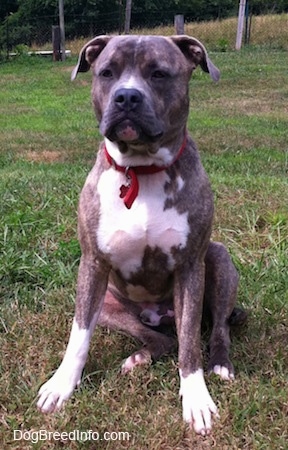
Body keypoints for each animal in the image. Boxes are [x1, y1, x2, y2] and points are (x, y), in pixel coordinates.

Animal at [37, 35, 246, 436]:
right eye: (107, 72)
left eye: (159, 73)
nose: (127, 97)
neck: (140, 169)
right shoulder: (92, 266)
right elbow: (78, 336)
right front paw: (62, 384)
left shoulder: (190, 267)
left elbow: (190, 345)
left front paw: (196, 398)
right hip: (110, 305)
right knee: (159, 337)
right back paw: (139, 357)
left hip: (218, 258)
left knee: (212, 330)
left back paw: (220, 363)